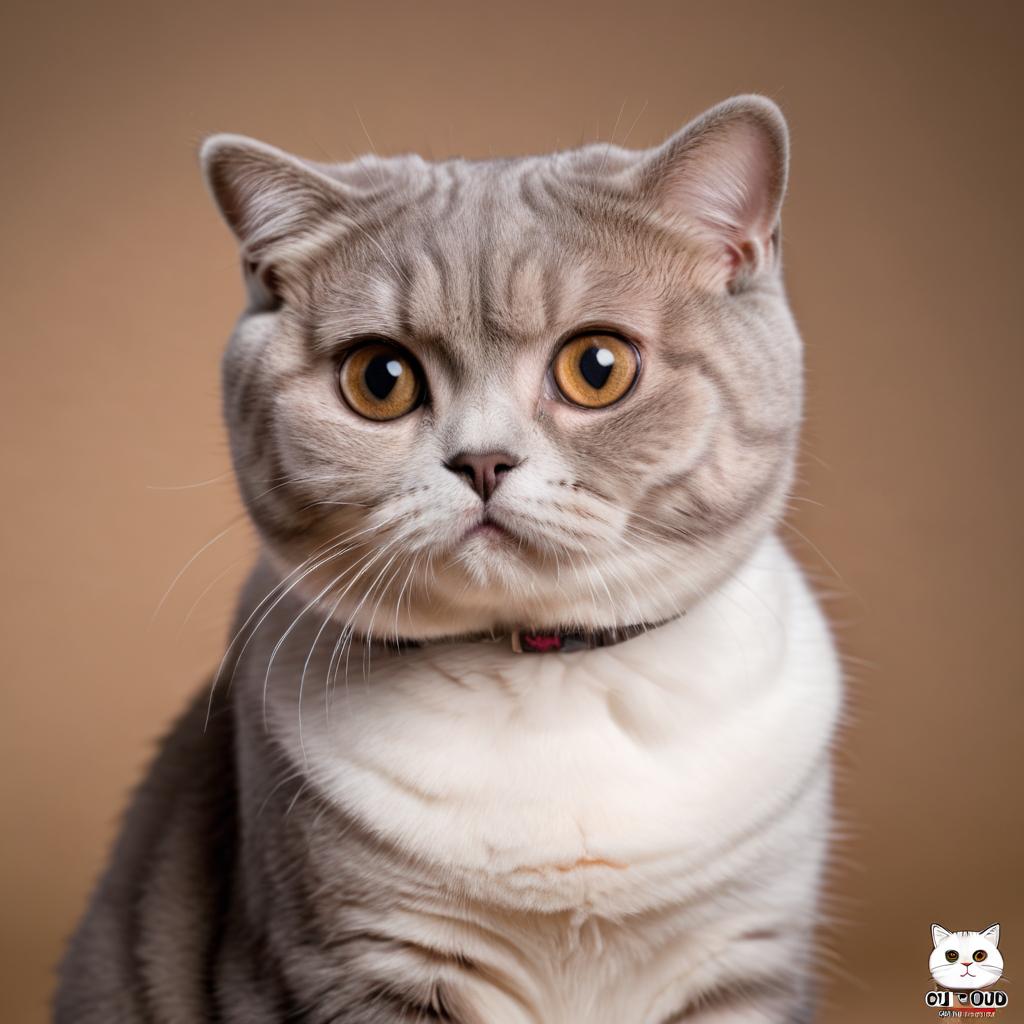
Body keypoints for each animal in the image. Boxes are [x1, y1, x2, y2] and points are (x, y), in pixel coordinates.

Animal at [54, 97, 839, 1024]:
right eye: (380, 378)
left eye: (599, 367)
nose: (483, 461)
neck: (545, 674)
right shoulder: (348, 967)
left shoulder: (745, 963)